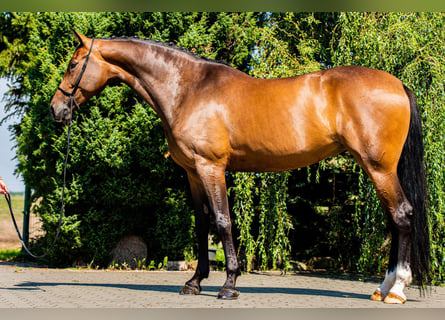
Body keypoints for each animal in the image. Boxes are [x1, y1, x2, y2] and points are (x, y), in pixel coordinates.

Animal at [50, 31, 428, 304]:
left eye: (73, 64)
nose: (56, 109)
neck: (188, 90)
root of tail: (397, 84)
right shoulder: (192, 173)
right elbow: (202, 226)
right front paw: (194, 282)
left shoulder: (212, 167)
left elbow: (222, 221)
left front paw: (229, 284)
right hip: (377, 169)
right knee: (393, 221)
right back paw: (383, 288)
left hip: (379, 168)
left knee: (402, 216)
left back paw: (397, 290)